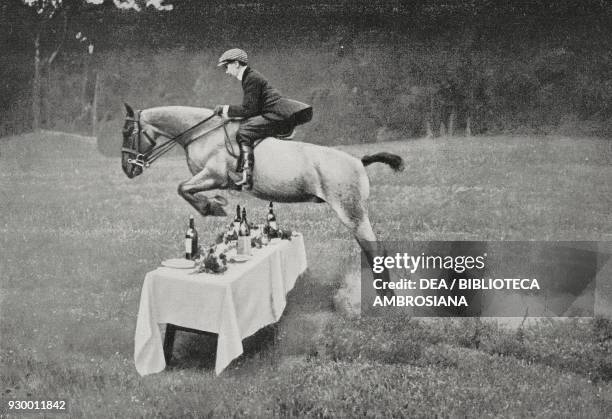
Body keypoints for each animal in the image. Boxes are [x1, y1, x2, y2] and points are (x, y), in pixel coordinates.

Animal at [122, 104, 404, 296]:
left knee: (376, 251)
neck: (202, 133)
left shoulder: (214, 175)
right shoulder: (211, 179)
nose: (127, 169)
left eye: (128, 132)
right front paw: (215, 204)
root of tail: (358, 161)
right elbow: (186, 190)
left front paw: (212, 206)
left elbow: (183, 188)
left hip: (351, 213)